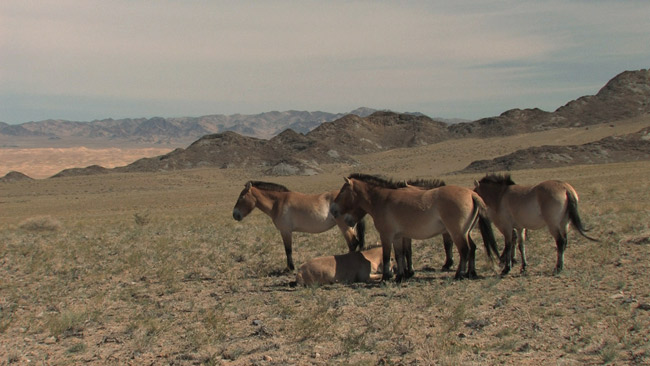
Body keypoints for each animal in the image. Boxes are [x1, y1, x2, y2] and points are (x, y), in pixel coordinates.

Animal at [232, 181, 364, 270]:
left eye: (241, 197)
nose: (235, 214)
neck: (278, 203)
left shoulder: (285, 231)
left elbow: (288, 250)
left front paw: (290, 268)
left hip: (345, 226)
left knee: (353, 243)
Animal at [330, 173, 496, 282]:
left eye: (343, 191)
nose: (333, 210)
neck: (382, 199)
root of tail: (471, 194)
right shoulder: (398, 237)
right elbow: (399, 255)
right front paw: (400, 276)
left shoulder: (386, 236)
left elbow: (386, 256)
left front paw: (386, 277)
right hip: (465, 232)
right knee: (472, 248)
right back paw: (470, 273)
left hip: (456, 232)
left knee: (464, 250)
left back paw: (459, 275)